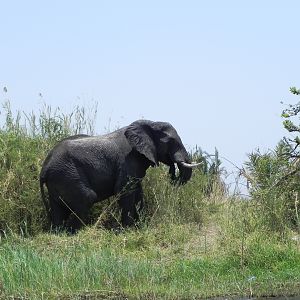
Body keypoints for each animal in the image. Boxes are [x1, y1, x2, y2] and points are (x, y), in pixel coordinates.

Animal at [39, 119, 199, 232]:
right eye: (172, 142)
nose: (173, 173)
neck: (149, 123)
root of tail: (44, 168)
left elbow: (137, 192)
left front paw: (140, 227)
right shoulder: (127, 161)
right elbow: (125, 192)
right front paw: (126, 230)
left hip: (59, 178)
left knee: (58, 209)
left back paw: (60, 232)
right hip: (67, 174)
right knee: (87, 197)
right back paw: (76, 232)